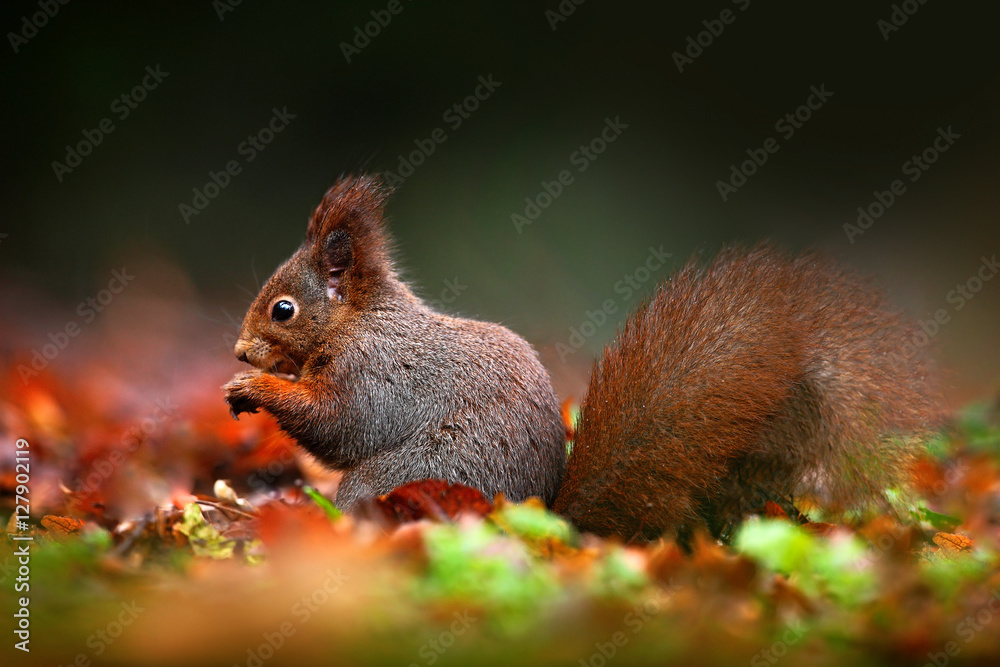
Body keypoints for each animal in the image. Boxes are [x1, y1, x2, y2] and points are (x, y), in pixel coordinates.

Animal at [221, 174, 944, 544]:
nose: (240, 348)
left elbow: (342, 426)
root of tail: (544, 520)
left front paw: (254, 387)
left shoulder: (375, 373)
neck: (358, 320)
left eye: (283, 309)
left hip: (406, 478)